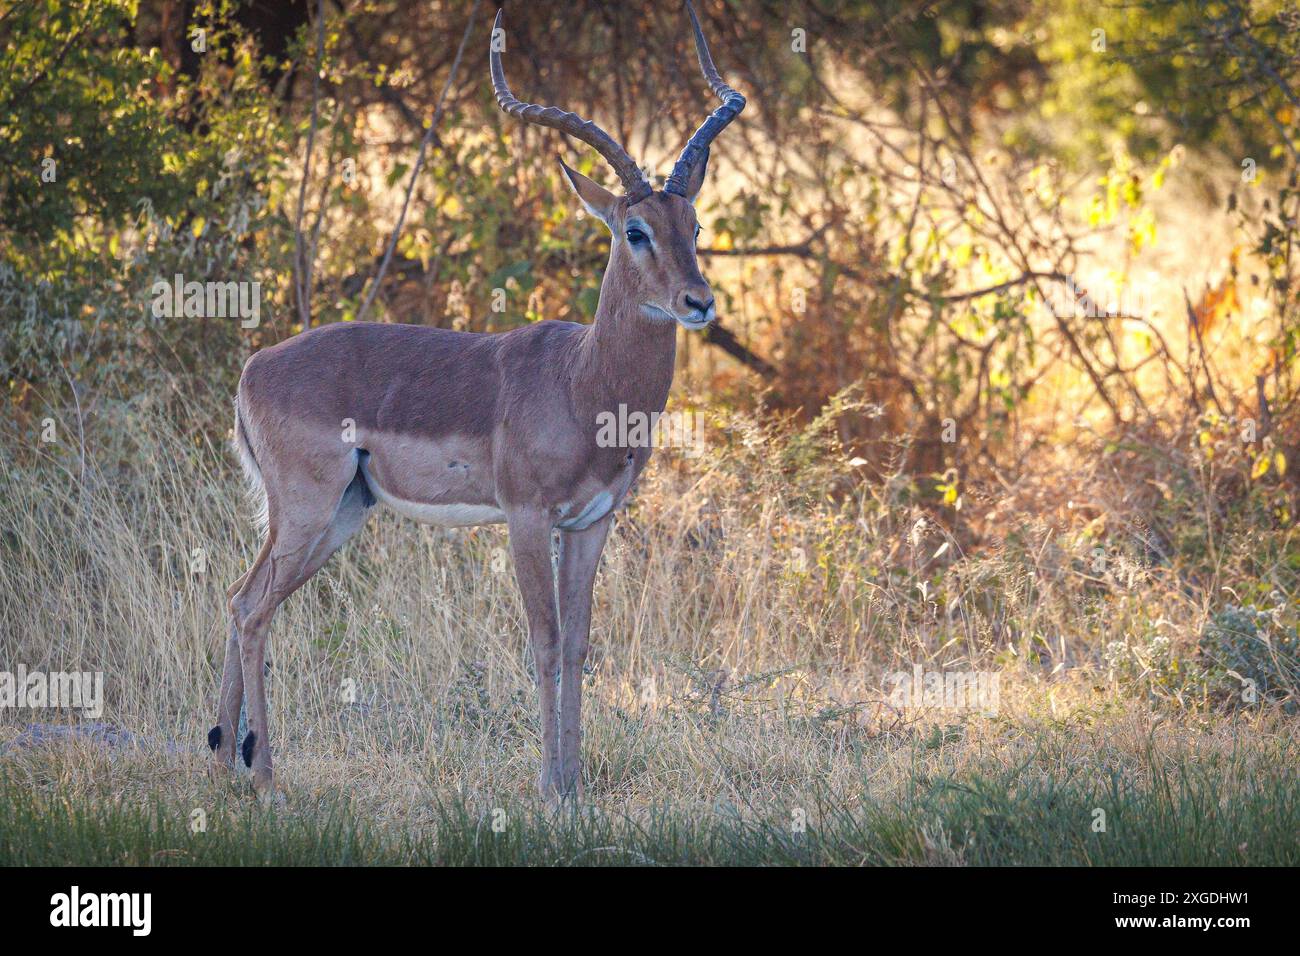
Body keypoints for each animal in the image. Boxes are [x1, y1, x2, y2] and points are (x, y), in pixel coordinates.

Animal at [208, 1, 745, 799]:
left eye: (696, 226)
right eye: (635, 229)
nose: (698, 302)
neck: (584, 384)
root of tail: (254, 368)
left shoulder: (591, 522)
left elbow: (580, 643)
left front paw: (574, 784)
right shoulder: (525, 516)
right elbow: (545, 641)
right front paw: (550, 789)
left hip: (342, 514)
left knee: (244, 597)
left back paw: (219, 759)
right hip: (307, 509)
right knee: (249, 607)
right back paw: (266, 774)